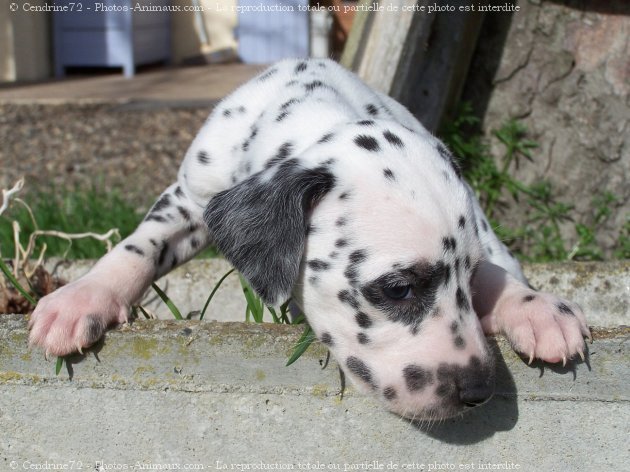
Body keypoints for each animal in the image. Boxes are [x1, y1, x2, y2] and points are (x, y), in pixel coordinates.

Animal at [29, 58, 592, 416]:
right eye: (398, 289)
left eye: (467, 278)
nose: (479, 390)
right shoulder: (189, 198)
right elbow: (138, 245)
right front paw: (82, 296)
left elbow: (495, 273)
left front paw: (534, 307)